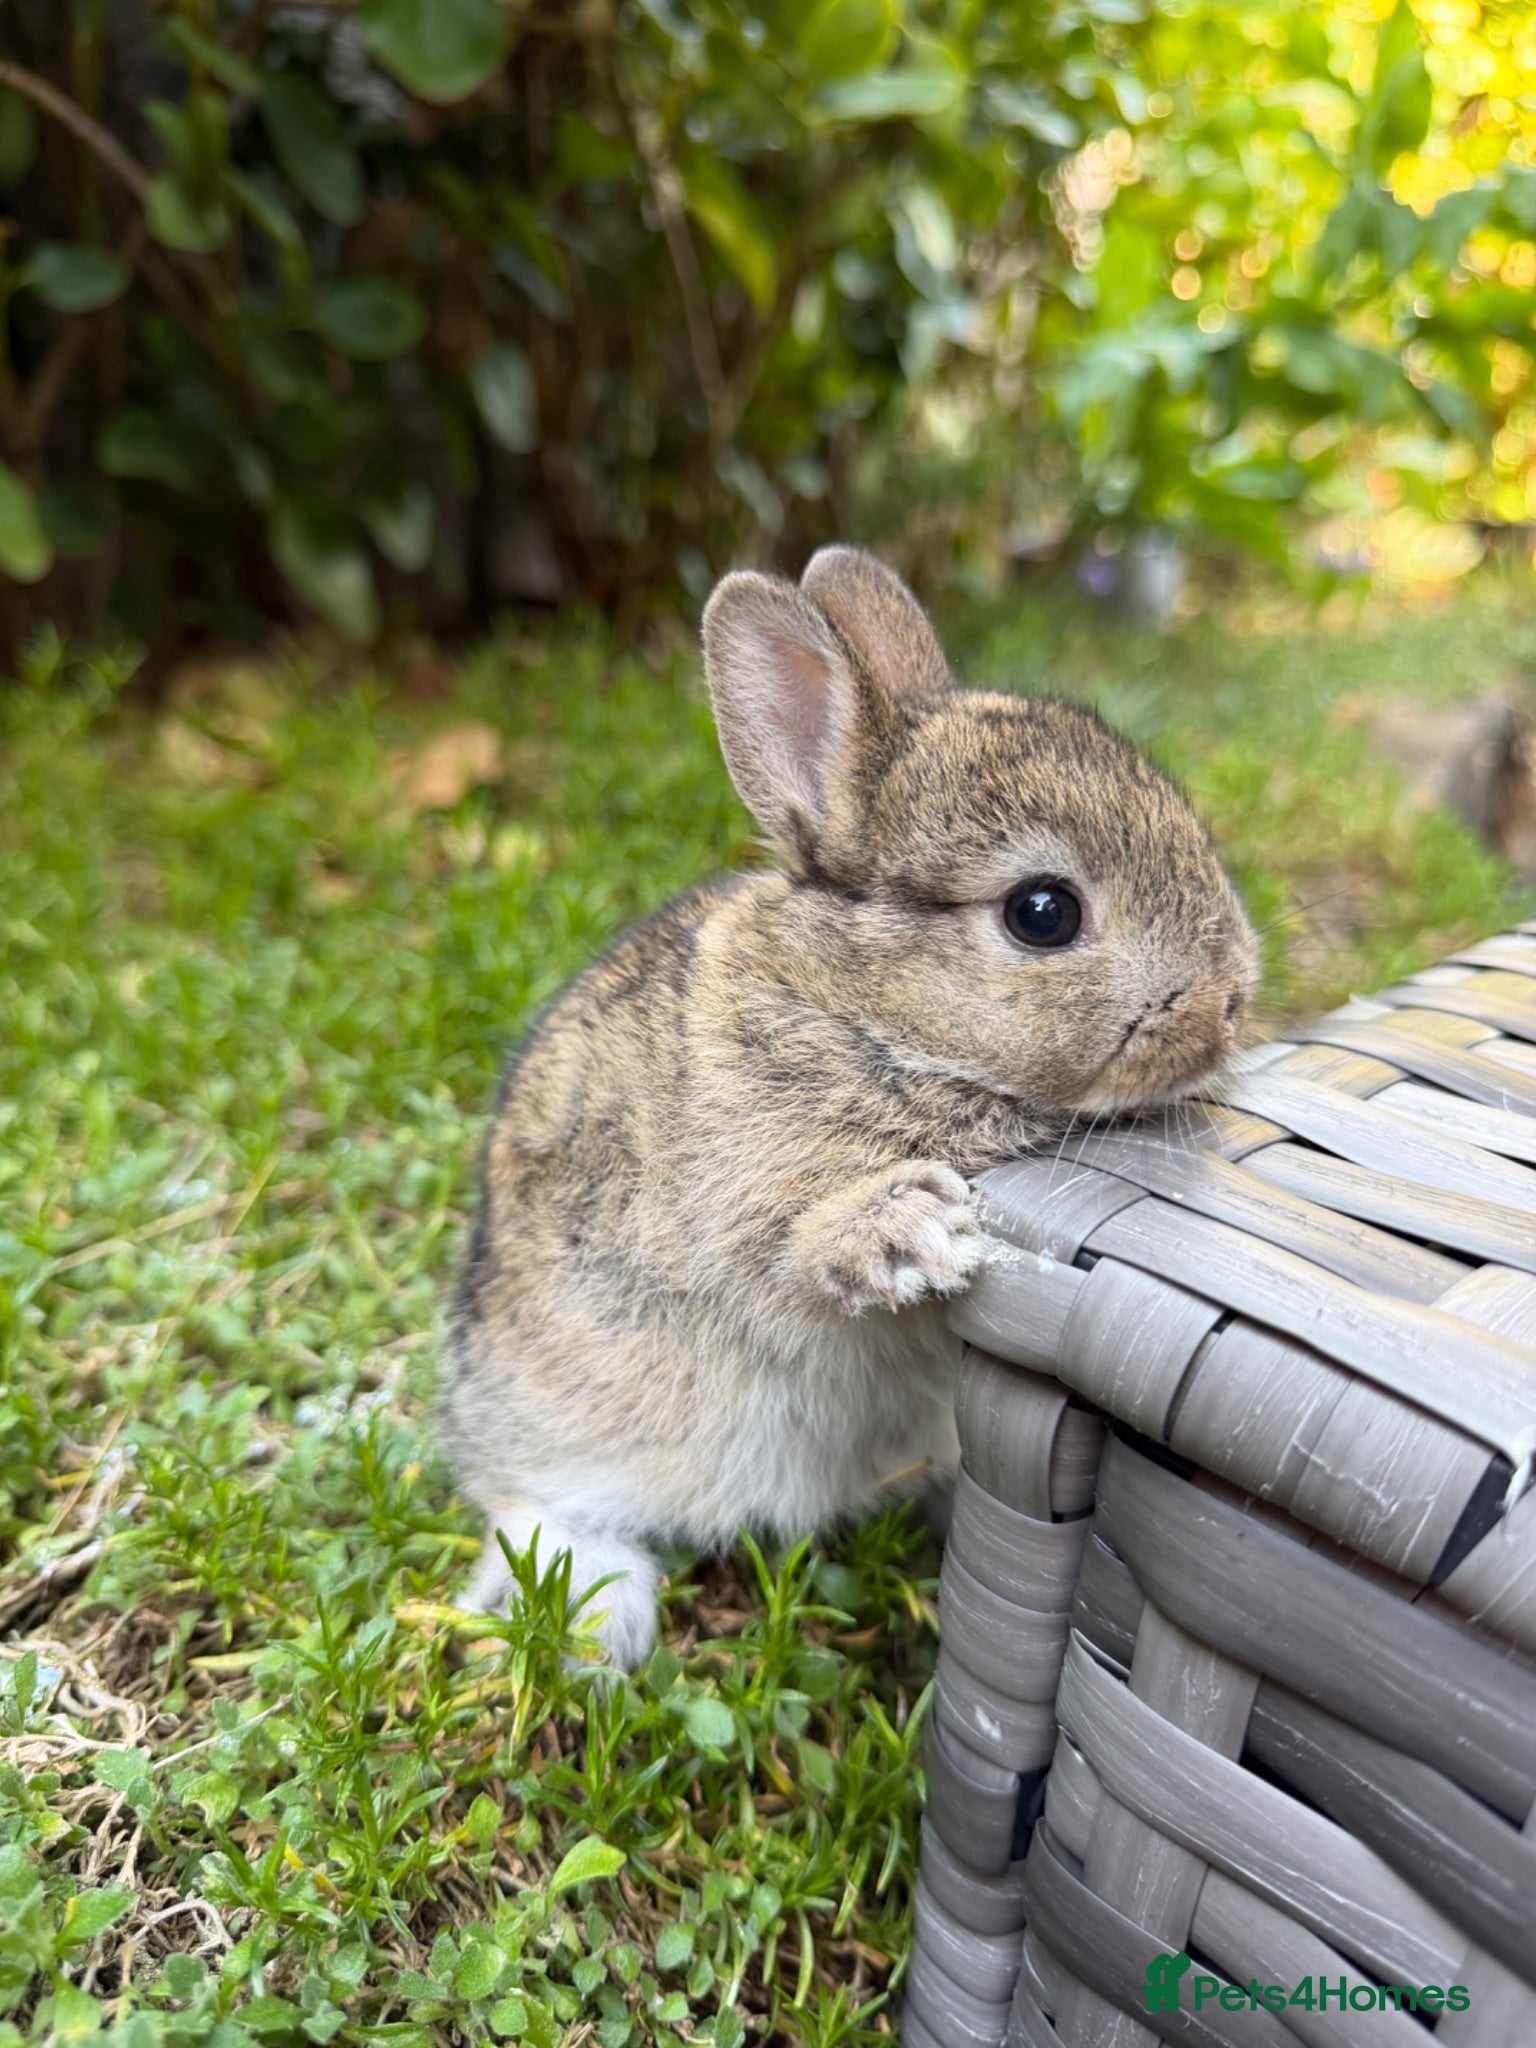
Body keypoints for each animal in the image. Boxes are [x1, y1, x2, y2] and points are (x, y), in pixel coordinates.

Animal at [441, 547, 1258, 1666]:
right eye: (1042, 913)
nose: (1232, 1002)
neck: (874, 1014)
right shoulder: (740, 1200)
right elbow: (792, 1249)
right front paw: (916, 1230)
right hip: (557, 1404)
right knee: (524, 1505)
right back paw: (598, 1625)